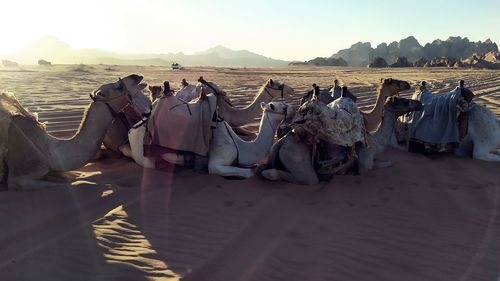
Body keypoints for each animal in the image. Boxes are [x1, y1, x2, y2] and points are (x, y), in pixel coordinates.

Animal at [2, 73, 150, 189]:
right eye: (118, 86)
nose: (136, 76)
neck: (48, 151)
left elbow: (69, 177)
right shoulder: (19, 177)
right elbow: (73, 183)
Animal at [260, 97, 424, 185]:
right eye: (403, 102)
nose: (419, 103)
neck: (375, 142)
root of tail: (281, 143)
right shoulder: (365, 164)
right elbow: (383, 164)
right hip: (299, 161)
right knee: (309, 179)